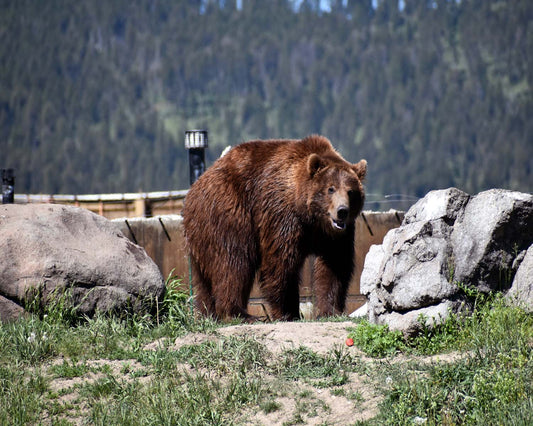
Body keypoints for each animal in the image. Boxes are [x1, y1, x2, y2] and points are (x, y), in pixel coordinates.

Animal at [181, 135, 364, 322]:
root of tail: (194, 189)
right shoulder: (282, 215)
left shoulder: (335, 235)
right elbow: (281, 262)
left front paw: (331, 311)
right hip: (229, 212)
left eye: (350, 191)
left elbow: (335, 264)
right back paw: (239, 313)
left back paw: (207, 314)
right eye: (330, 189)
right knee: (233, 262)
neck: (310, 217)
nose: (342, 211)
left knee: (204, 279)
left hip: (201, 234)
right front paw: (287, 311)